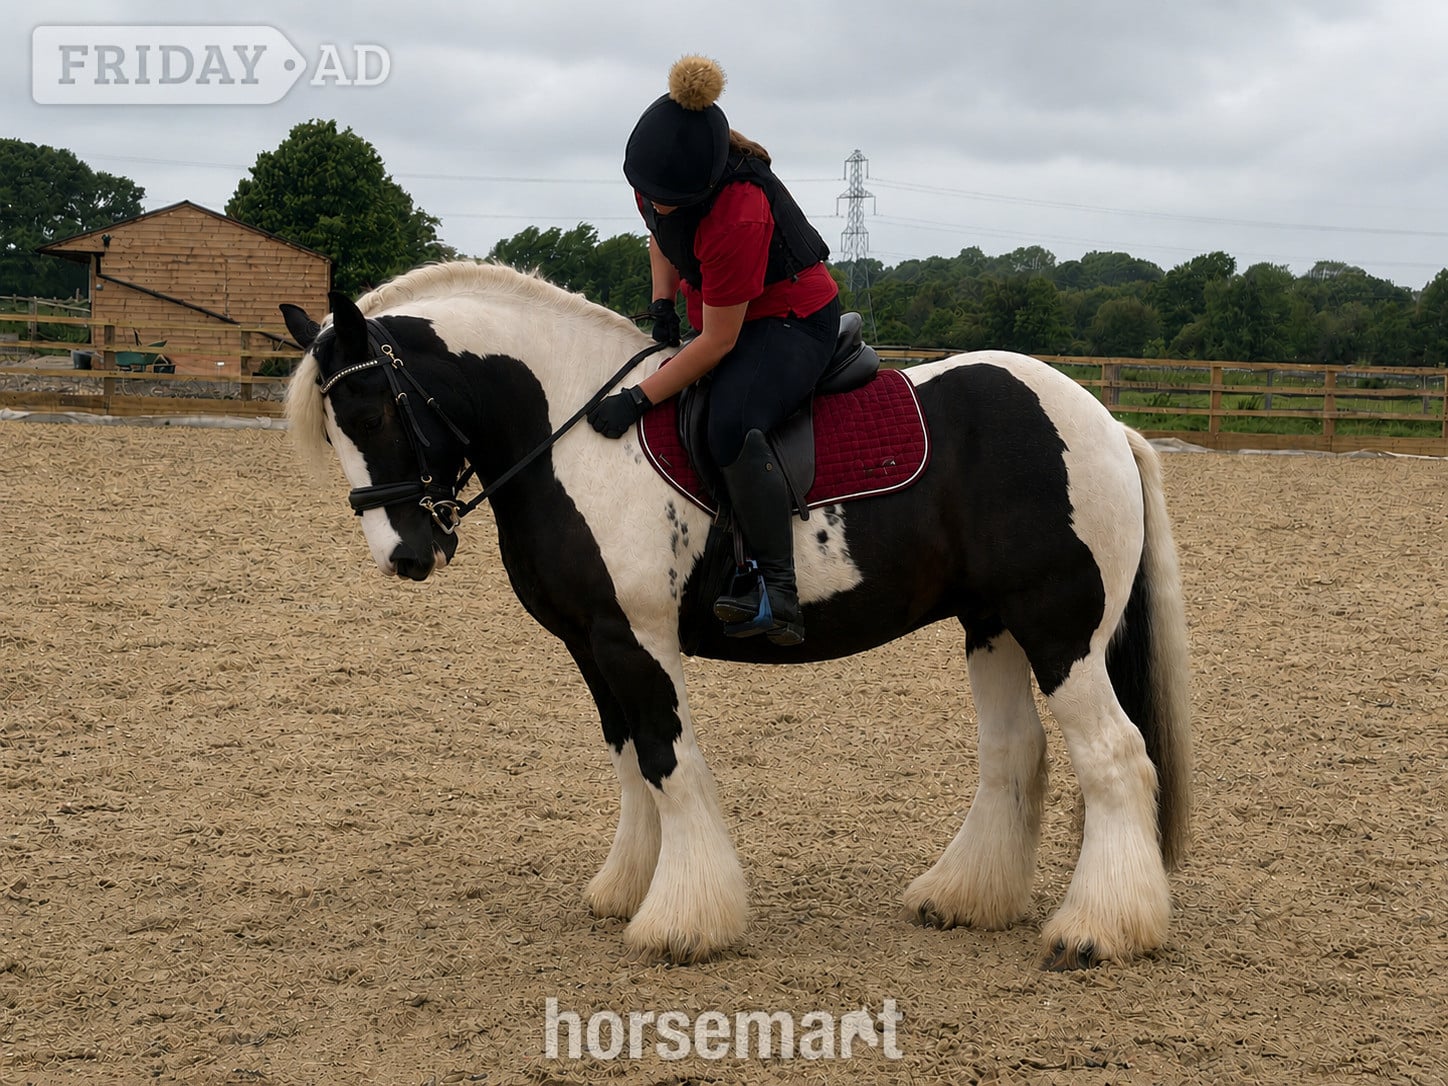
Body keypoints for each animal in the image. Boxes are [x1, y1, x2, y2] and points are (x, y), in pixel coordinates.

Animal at [281, 261, 1192, 970]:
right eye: (334, 425)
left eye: (370, 411)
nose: (405, 554)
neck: (576, 434)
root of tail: (1106, 423)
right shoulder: (592, 645)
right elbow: (630, 763)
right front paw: (628, 887)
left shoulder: (637, 640)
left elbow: (668, 762)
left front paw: (683, 920)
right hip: (992, 625)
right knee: (1016, 753)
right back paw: (965, 897)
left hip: (1060, 631)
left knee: (1116, 758)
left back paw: (1097, 931)